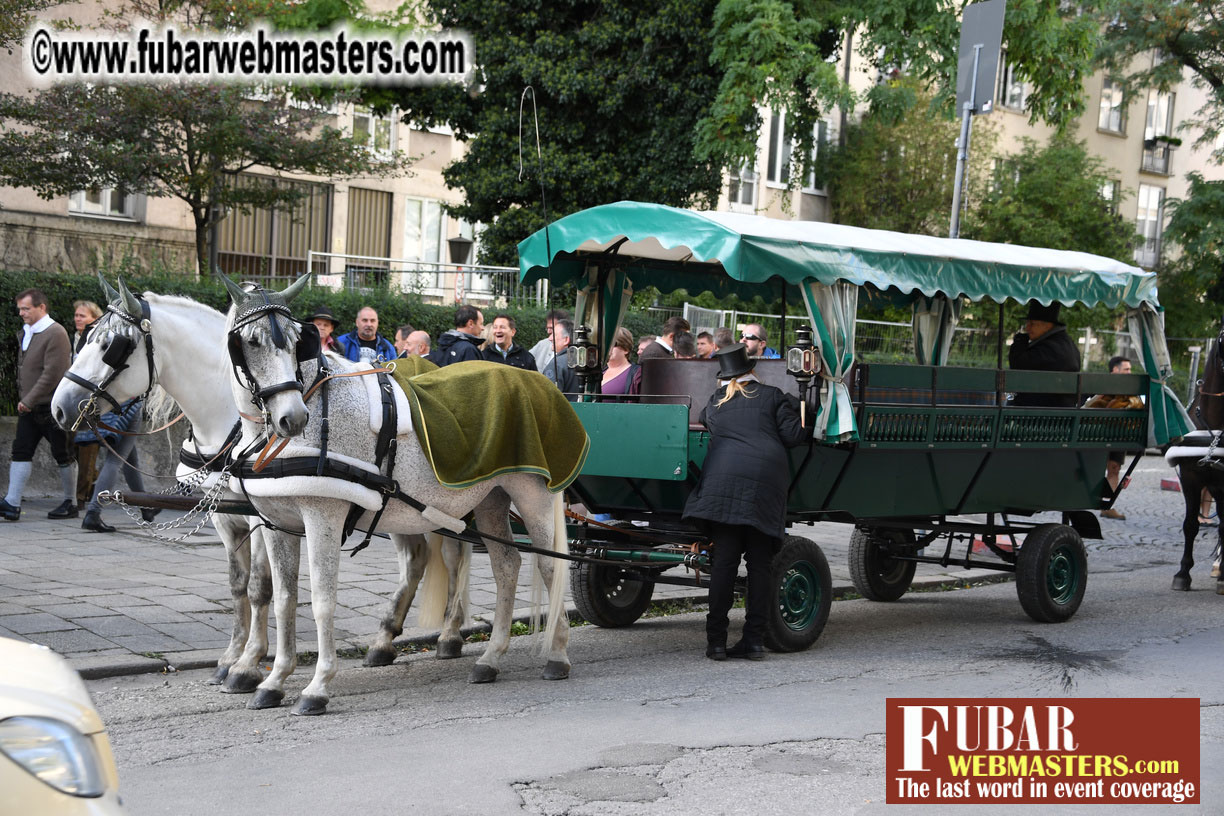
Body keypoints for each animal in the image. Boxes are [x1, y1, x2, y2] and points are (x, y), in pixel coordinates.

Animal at [51, 277, 467, 694]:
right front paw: (231, 658)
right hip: (397, 507)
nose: (59, 406)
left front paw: (250, 664)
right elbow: (239, 586)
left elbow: (260, 586)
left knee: (455, 555)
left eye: (111, 346)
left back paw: (450, 633)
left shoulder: (258, 515)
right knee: (416, 561)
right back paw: (385, 641)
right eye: (87, 338)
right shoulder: (225, 515)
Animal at [220, 274, 572, 714]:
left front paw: (317, 685)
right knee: (506, 565)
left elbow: (322, 600)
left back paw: (557, 653)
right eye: (250, 342)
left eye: (297, 341)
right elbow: (283, 598)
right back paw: (491, 657)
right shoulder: (275, 524)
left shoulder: (323, 518)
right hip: (491, 499)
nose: (293, 418)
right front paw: (273, 679)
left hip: (533, 497)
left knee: (550, 566)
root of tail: (542, 383)